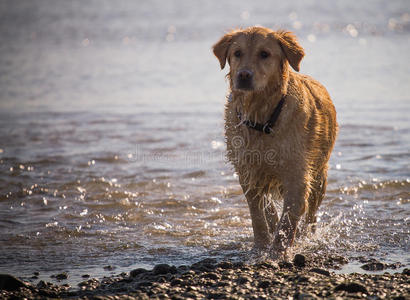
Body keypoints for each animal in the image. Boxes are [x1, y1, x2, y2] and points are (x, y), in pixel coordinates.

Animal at [213, 27, 338, 254]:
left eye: (265, 54)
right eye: (237, 53)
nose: (243, 75)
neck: (262, 118)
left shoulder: (297, 174)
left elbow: (289, 219)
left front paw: (278, 252)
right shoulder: (247, 170)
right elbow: (259, 213)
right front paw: (261, 245)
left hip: (320, 175)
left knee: (311, 214)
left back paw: (306, 236)